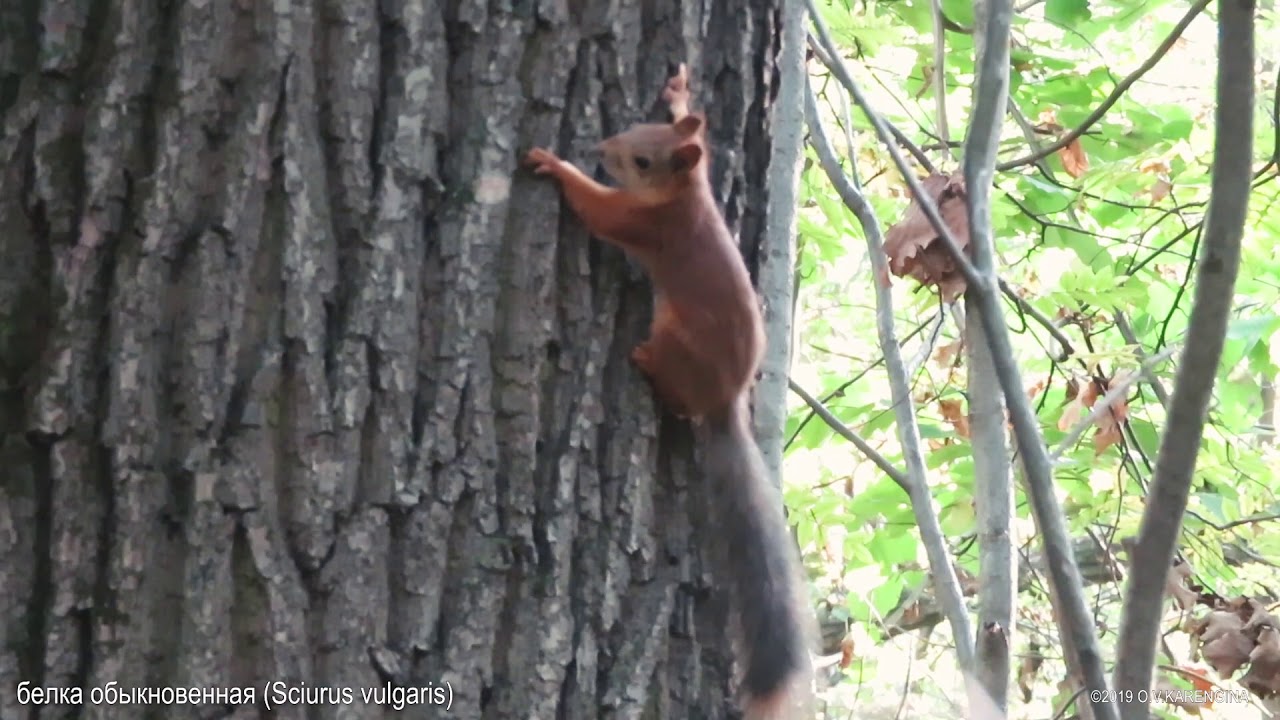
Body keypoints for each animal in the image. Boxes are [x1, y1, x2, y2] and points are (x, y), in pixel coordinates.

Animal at [526, 65, 812, 718]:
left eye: (639, 159)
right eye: (639, 129)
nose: (601, 148)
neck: (686, 195)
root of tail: (725, 401)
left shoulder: (644, 224)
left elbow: (599, 212)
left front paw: (557, 166)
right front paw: (682, 94)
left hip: (676, 340)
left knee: (674, 390)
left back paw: (646, 364)